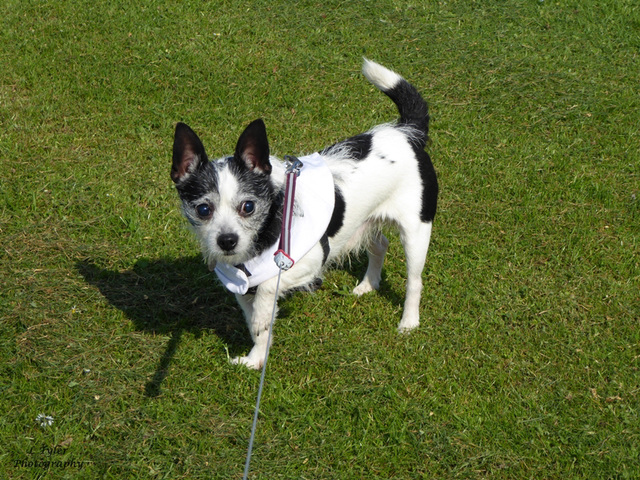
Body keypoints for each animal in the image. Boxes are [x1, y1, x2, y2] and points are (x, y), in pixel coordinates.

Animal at [172, 59, 438, 368]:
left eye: (248, 206)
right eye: (203, 209)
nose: (227, 241)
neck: (269, 227)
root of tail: (404, 132)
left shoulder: (306, 264)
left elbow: (266, 294)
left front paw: (260, 326)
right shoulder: (241, 288)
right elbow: (257, 326)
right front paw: (256, 360)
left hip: (416, 232)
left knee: (415, 280)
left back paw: (409, 321)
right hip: (363, 222)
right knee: (380, 244)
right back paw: (368, 285)